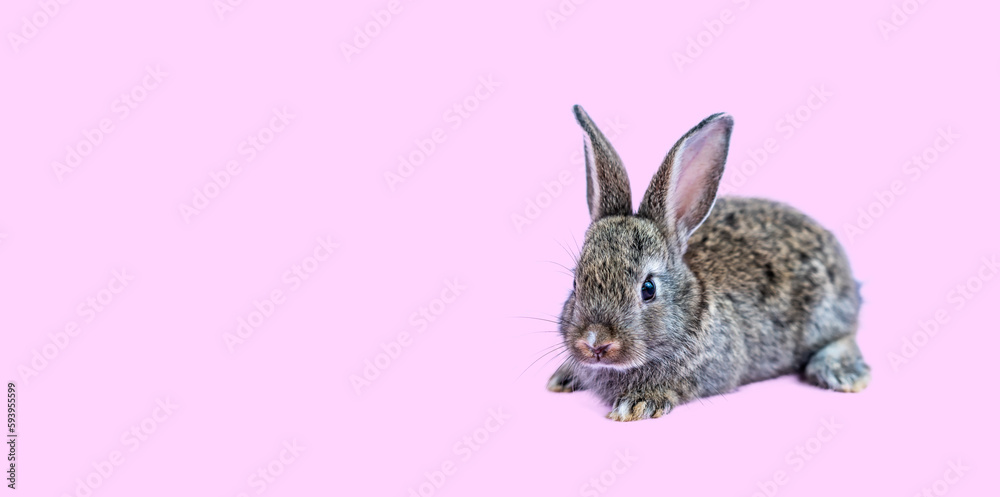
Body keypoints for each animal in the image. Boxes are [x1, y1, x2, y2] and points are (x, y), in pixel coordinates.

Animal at [548, 103, 868, 418]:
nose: (595, 343)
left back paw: (843, 372)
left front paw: (638, 403)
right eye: (575, 283)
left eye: (648, 289)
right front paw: (564, 376)